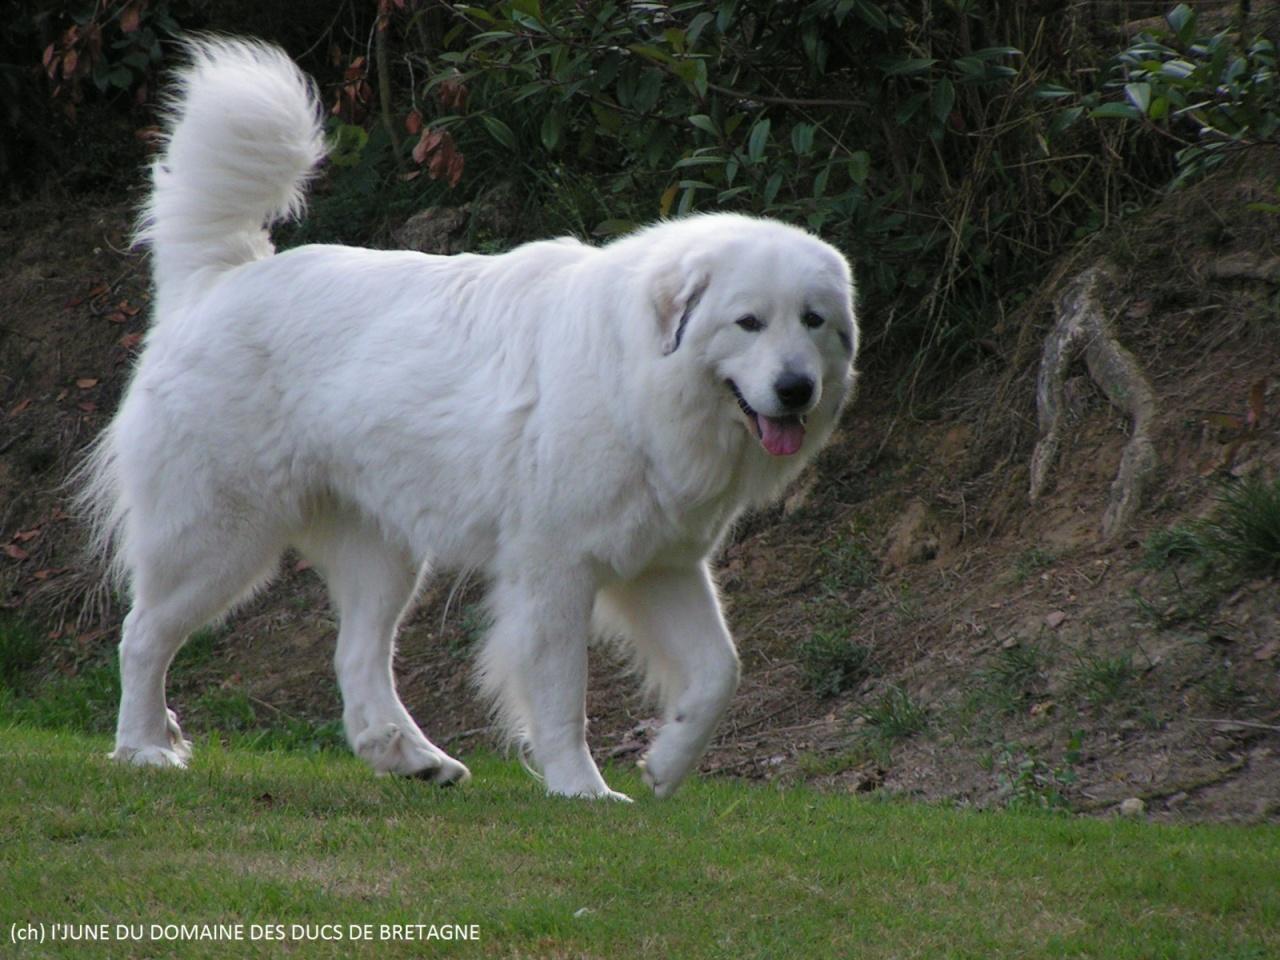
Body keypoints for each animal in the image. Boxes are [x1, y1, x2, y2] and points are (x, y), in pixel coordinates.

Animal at [80, 37, 860, 798]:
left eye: (813, 321)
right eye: (748, 323)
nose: (797, 389)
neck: (638, 374)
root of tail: (219, 279)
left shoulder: (662, 563)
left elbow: (721, 672)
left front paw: (666, 765)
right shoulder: (554, 572)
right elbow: (562, 697)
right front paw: (583, 790)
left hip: (383, 554)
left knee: (356, 659)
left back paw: (409, 757)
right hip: (217, 540)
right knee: (143, 635)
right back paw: (145, 747)